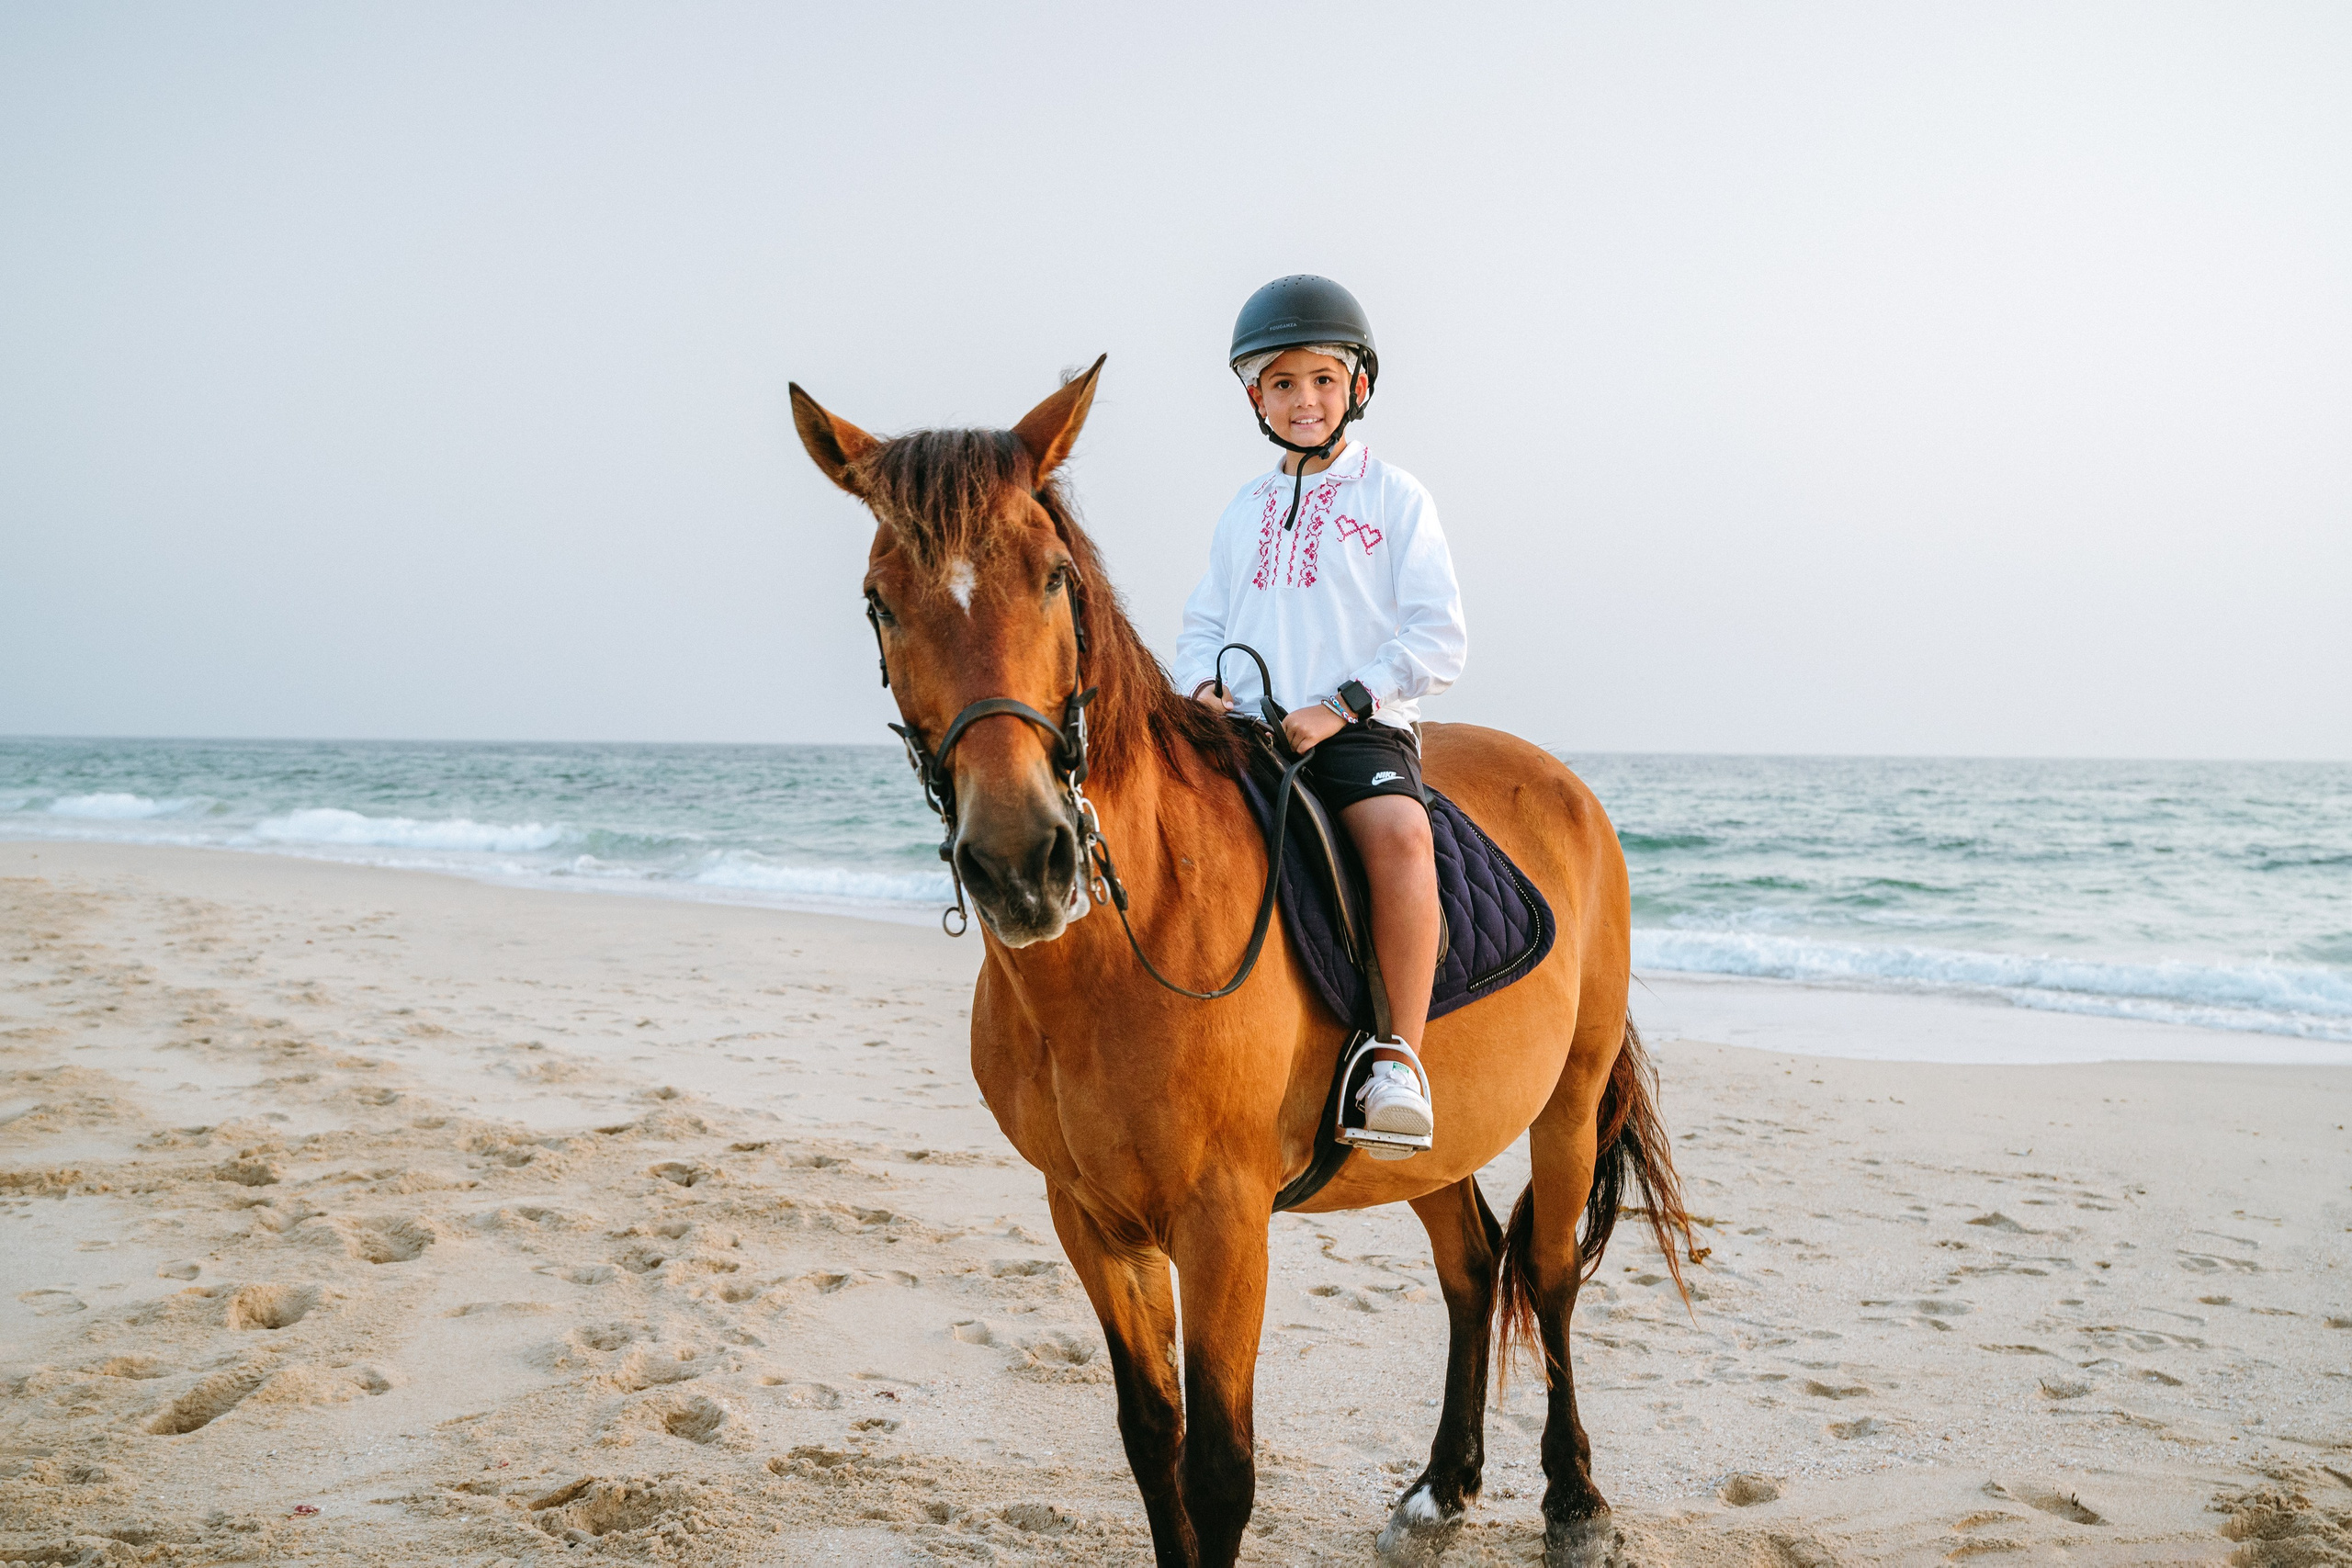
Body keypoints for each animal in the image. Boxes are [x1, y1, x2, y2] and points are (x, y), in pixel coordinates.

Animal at [788, 358, 1695, 1567]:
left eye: (1054, 578)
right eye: (880, 602)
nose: (1023, 863)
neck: (1119, 967)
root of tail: (1565, 786)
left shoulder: (1222, 1227)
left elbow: (1217, 1469)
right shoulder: (1089, 1219)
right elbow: (1150, 1440)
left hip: (1569, 1099)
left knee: (1543, 1274)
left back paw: (1574, 1501)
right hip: (1440, 1136)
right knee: (1469, 1267)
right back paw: (1440, 1490)